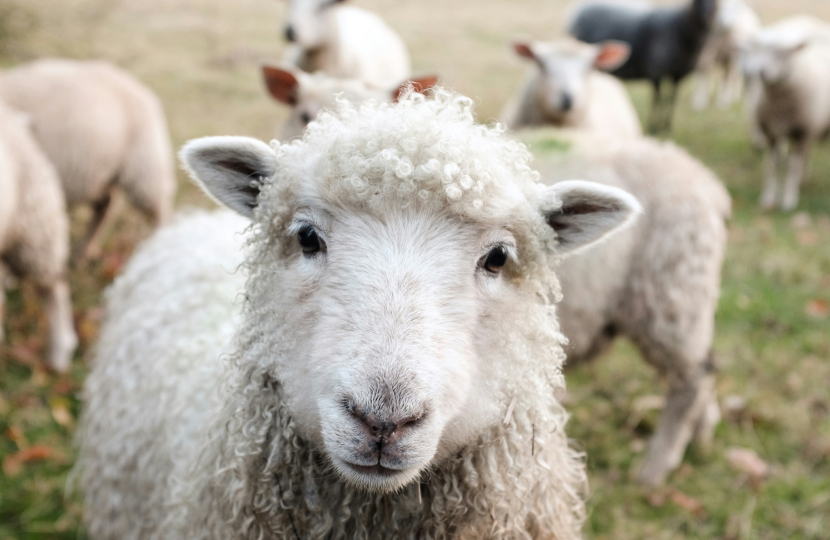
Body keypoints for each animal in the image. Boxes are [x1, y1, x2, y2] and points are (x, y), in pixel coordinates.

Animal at [0, 59, 176, 259]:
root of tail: (139, 87)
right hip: (102, 172)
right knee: (105, 207)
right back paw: (85, 250)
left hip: (145, 164)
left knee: (159, 209)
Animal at [569, 0, 718, 133]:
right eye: (697, 1)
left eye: (716, 1)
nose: (705, 13)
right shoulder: (657, 72)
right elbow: (657, 99)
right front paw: (654, 126)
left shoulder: (678, 75)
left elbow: (671, 99)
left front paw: (666, 125)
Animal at [741, 16, 830, 211]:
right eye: (760, 50)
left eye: (783, 53)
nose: (761, 72)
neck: (780, 104)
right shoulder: (770, 133)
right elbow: (772, 166)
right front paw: (768, 199)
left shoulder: (803, 132)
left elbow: (793, 167)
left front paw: (789, 199)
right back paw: (803, 179)